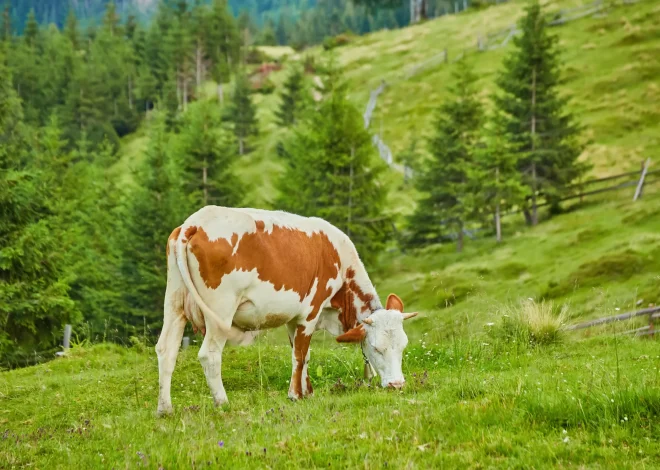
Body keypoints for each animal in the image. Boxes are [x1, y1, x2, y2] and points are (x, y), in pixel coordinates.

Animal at [155, 206, 418, 416]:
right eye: (376, 348)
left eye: (403, 347)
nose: (397, 385)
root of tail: (194, 223)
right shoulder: (310, 312)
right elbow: (299, 355)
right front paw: (295, 395)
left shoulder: (294, 318)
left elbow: (304, 355)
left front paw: (307, 391)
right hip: (221, 310)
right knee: (209, 354)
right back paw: (223, 403)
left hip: (174, 303)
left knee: (166, 349)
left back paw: (165, 409)